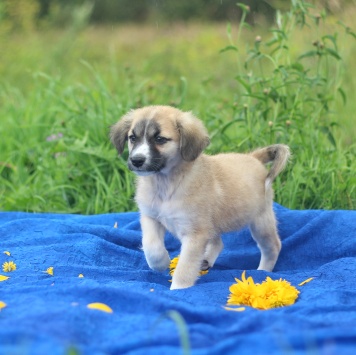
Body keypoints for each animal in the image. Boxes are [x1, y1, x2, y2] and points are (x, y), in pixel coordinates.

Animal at [110, 105, 290, 290]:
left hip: (260, 221)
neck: (166, 186)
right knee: (218, 243)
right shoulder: (151, 217)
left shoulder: (195, 234)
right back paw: (206, 261)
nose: (136, 160)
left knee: (273, 246)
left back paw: (263, 271)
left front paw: (177, 290)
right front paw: (161, 263)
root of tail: (253, 158)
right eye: (132, 138)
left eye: (160, 139)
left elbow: (185, 267)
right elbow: (151, 246)